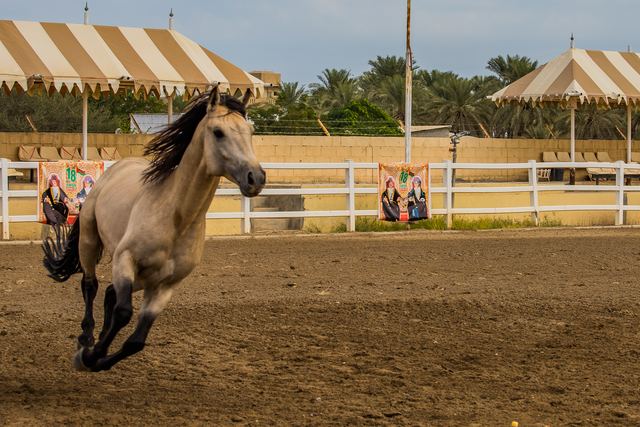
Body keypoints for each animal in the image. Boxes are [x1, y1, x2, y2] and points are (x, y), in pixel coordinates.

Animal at [42, 86, 265, 372]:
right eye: (218, 132)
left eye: (250, 131)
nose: (256, 177)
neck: (176, 219)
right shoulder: (125, 260)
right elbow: (123, 313)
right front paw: (89, 356)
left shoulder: (166, 285)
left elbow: (136, 341)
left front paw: (100, 358)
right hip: (91, 242)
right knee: (90, 285)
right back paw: (87, 337)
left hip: (142, 278)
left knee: (110, 292)